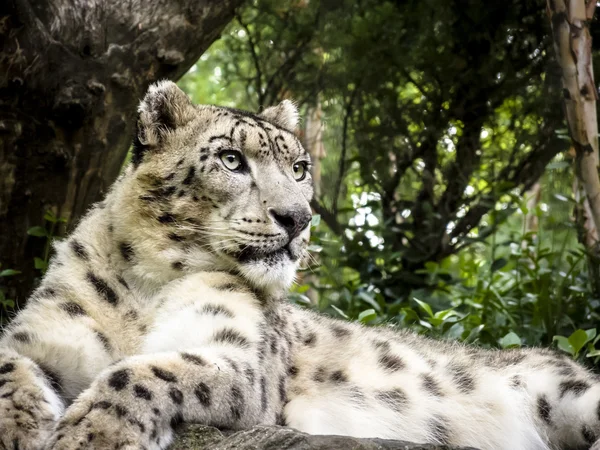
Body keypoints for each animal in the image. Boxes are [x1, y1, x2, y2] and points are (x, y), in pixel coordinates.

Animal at [1, 81, 600, 450]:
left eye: (299, 167)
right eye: (231, 159)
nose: (298, 217)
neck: (144, 289)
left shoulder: (240, 363)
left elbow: (145, 371)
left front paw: (92, 434)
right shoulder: (40, 335)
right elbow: (11, 368)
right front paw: (20, 430)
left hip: (574, 394)